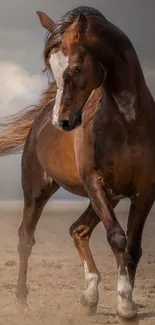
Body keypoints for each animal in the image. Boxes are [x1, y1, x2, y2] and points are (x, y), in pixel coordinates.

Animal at [0, 5, 155, 318]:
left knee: (78, 230)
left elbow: (133, 248)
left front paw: (128, 304)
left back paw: (90, 297)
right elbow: (117, 237)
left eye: (78, 67)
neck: (128, 122)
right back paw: (22, 300)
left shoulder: (144, 192)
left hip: (111, 197)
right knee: (26, 239)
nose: (63, 121)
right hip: (37, 190)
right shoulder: (95, 183)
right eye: (52, 69)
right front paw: (123, 302)